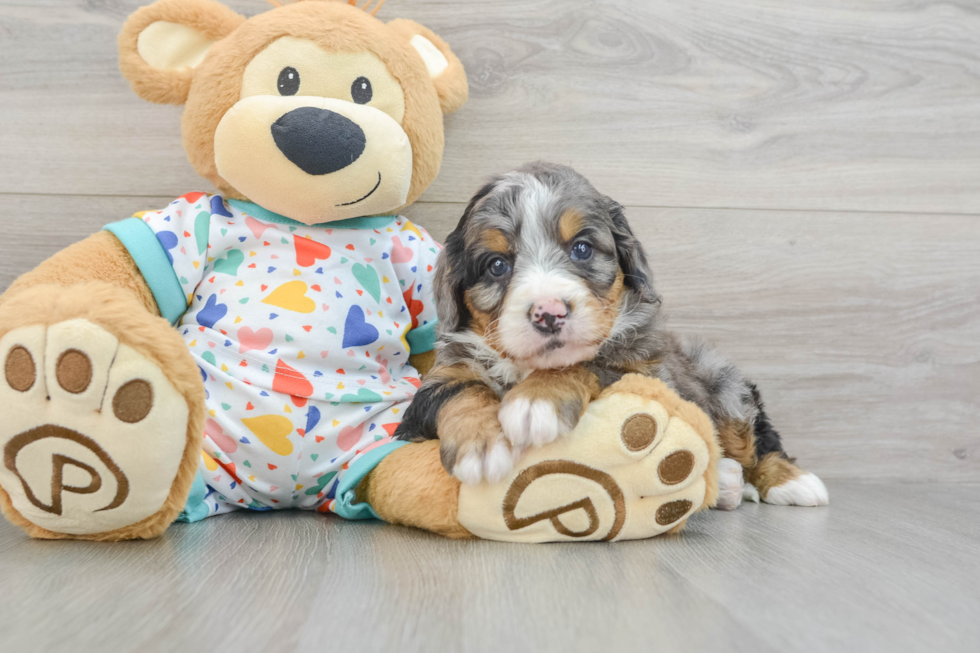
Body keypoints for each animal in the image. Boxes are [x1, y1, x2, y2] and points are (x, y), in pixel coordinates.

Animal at [394, 160, 832, 506]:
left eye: (582, 249)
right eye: (497, 265)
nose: (549, 313)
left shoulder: (647, 373)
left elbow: (591, 364)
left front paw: (537, 401)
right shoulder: (436, 384)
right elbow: (460, 391)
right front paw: (481, 447)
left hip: (723, 383)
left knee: (756, 441)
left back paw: (790, 482)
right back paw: (728, 484)